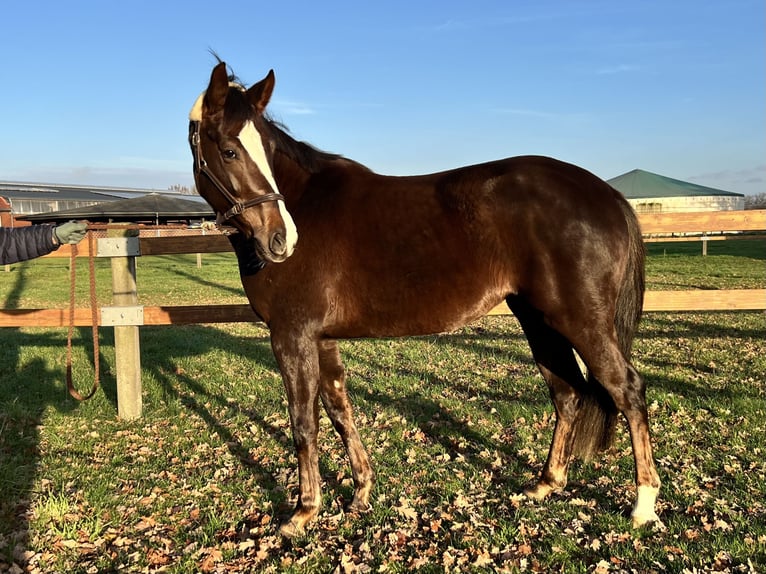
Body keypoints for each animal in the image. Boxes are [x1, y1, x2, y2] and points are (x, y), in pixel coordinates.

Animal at [188, 61, 662, 537]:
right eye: (229, 151)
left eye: (262, 149)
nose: (281, 239)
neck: (307, 204)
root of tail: (608, 194)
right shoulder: (321, 337)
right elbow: (340, 410)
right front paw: (361, 491)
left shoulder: (292, 335)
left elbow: (304, 423)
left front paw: (303, 512)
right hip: (538, 319)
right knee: (567, 391)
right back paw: (546, 483)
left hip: (580, 321)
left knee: (626, 389)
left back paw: (643, 504)